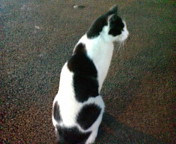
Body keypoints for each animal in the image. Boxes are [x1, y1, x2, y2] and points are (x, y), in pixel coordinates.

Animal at [51, 5, 129, 144]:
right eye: (121, 29)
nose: (128, 34)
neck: (95, 36)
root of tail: (67, 132)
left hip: (55, 103)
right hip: (99, 103)